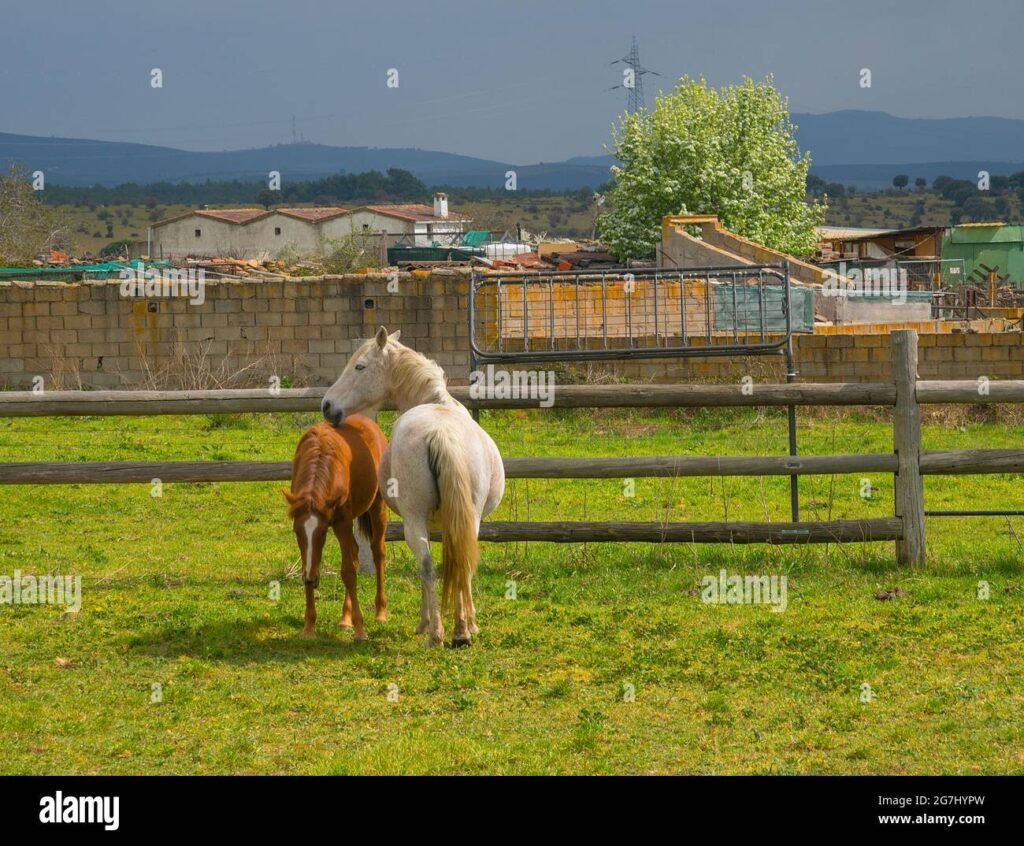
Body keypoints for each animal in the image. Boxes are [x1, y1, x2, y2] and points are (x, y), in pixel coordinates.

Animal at [282, 417, 389, 640]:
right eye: (296, 531)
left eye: (322, 532)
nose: (311, 580)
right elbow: (309, 564)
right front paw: (309, 626)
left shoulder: (342, 522)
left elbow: (347, 572)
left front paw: (360, 630)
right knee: (355, 553)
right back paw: (345, 618)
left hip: (378, 507)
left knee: (377, 552)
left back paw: (380, 612)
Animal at [321, 327, 505, 647]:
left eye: (360, 367)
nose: (327, 406)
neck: (435, 403)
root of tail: (441, 432)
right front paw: (469, 624)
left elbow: (425, 570)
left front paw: (425, 622)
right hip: (470, 519)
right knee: (462, 563)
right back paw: (461, 632)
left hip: (413, 522)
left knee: (427, 567)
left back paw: (436, 634)